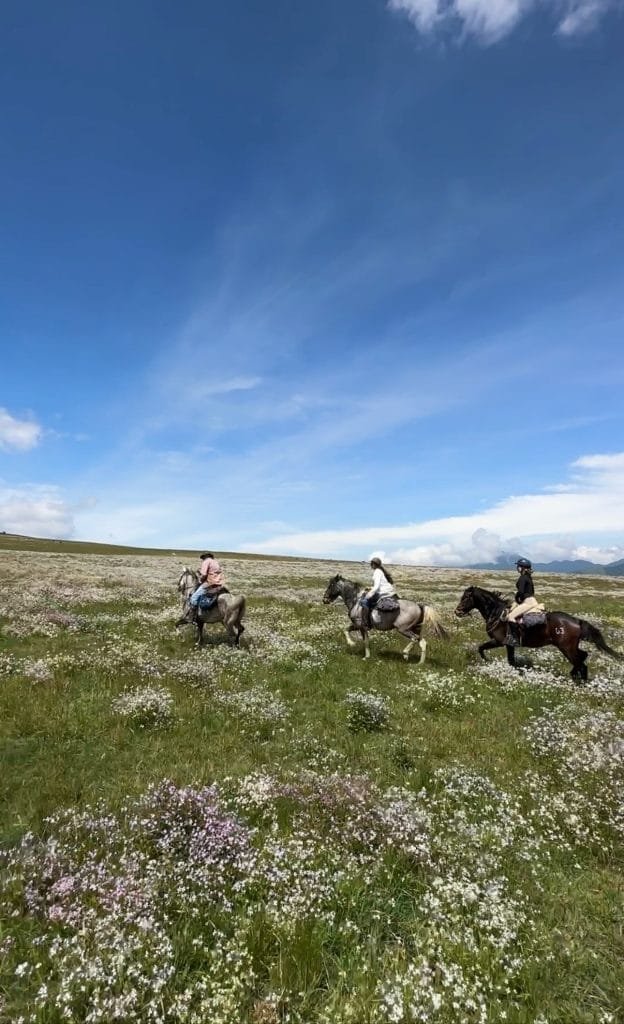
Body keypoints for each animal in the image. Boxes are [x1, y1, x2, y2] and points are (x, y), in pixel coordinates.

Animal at [452, 589, 618, 684]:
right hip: (571, 647)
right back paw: (577, 678)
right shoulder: (510, 645)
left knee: (581, 663)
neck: (497, 613)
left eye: (466, 597)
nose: (457, 611)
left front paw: (487, 661)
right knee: (583, 657)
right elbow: (510, 660)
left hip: (566, 648)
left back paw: (578, 682)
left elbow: (481, 648)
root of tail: (577, 621)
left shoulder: (499, 641)